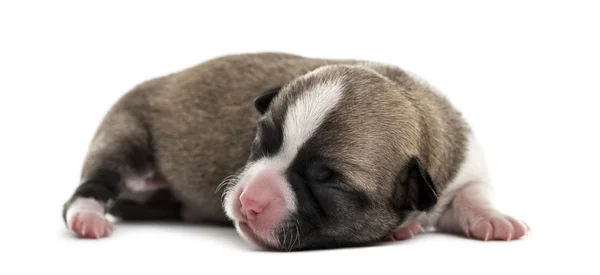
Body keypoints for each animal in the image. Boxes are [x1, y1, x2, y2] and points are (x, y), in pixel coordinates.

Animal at [62, 52, 528, 252]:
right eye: (261, 141)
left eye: (329, 180)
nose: (247, 202)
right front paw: (406, 228)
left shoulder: (462, 164)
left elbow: (472, 193)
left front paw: (493, 218)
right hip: (126, 136)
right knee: (93, 184)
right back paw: (87, 216)